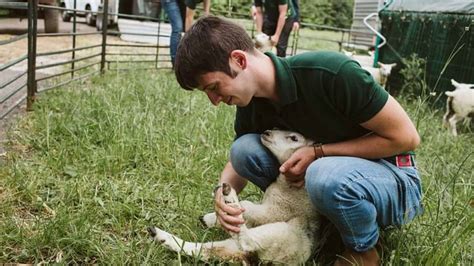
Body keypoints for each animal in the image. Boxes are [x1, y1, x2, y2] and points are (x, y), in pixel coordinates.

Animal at [147, 129, 322, 264]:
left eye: (294, 138)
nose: (267, 132)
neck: (291, 186)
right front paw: (213, 216)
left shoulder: (280, 209)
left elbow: (248, 207)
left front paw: (218, 214)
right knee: (208, 250)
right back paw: (160, 235)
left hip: (283, 235)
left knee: (247, 241)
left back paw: (229, 196)